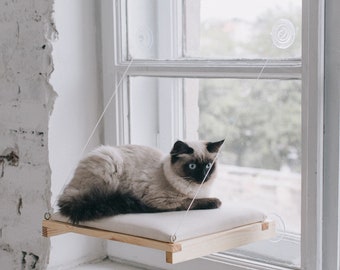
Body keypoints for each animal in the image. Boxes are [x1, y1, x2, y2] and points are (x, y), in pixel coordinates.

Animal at [57, 139, 224, 224]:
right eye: (192, 166)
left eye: (208, 166)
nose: (203, 176)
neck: (197, 189)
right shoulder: (162, 201)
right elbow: (190, 202)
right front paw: (215, 202)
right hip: (111, 162)